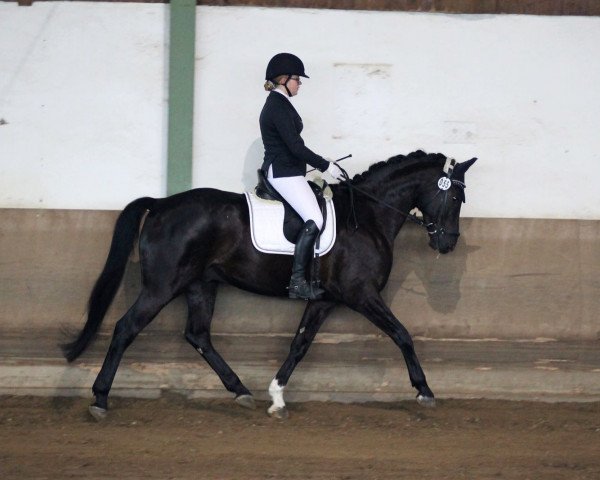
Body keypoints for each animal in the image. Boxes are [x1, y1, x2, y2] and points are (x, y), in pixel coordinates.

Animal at [64, 150, 478, 420]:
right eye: (457, 195)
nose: (448, 244)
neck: (368, 217)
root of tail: (161, 204)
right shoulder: (361, 294)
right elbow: (402, 334)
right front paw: (424, 390)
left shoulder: (324, 300)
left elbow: (300, 344)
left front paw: (277, 397)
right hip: (162, 287)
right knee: (125, 328)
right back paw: (100, 399)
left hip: (201, 285)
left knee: (198, 335)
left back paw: (241, 391)